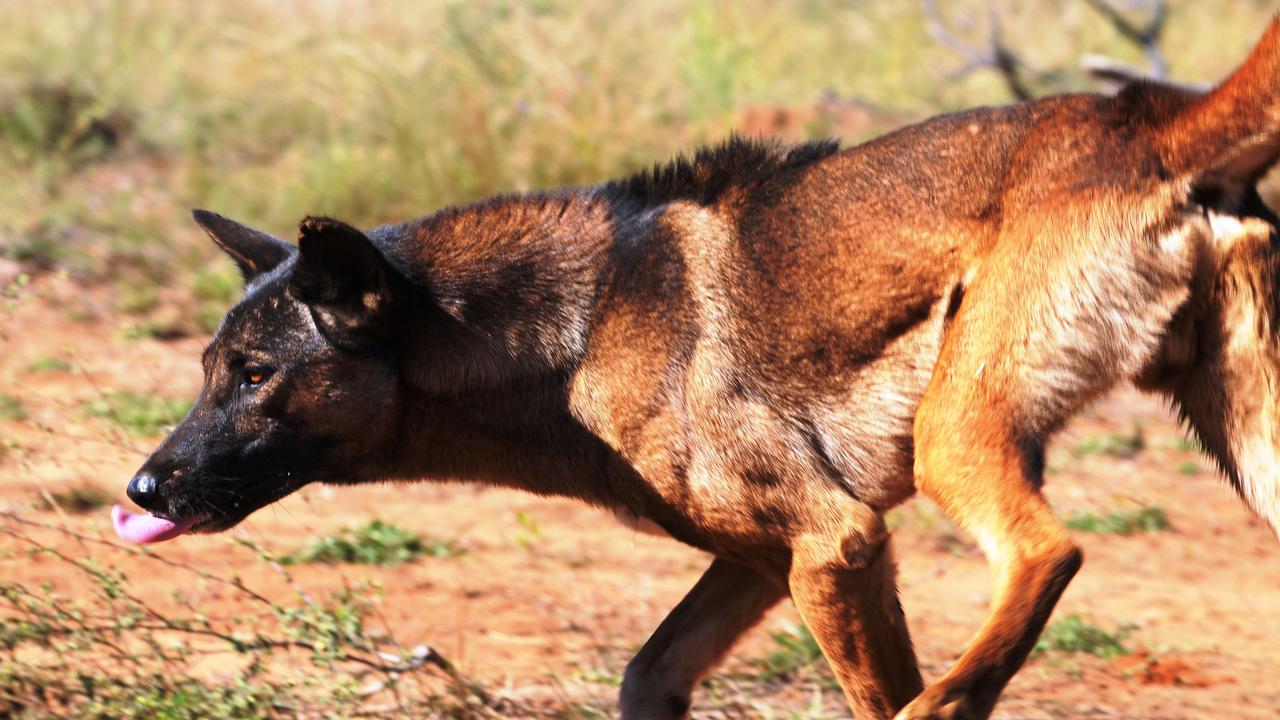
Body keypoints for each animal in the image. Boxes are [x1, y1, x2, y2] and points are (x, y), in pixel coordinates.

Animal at [115, 18, 1280, 717]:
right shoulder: (765, 566)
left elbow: (871, 691)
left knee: (1047, 555)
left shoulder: (836, 545)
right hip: (1249, 455)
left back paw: (950, 699)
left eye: (253, 376)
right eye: (208, 368)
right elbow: (645, 672)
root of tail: (1147, 117)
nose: (140, 491)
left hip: (956, 441)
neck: (575, 334)